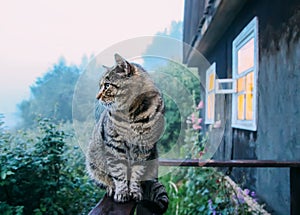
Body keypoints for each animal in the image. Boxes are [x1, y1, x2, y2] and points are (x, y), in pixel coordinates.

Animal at [86, 53, 164, 202]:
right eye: (100, 85)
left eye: (107, 85)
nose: (97, 97)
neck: (132, 113)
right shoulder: (114, 145)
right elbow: (119, 173)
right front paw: (122, 192)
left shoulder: (143, 148)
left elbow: (137, 173)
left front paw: (134, 191)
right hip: (93, 163)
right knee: (107, 179)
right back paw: (111, 187)